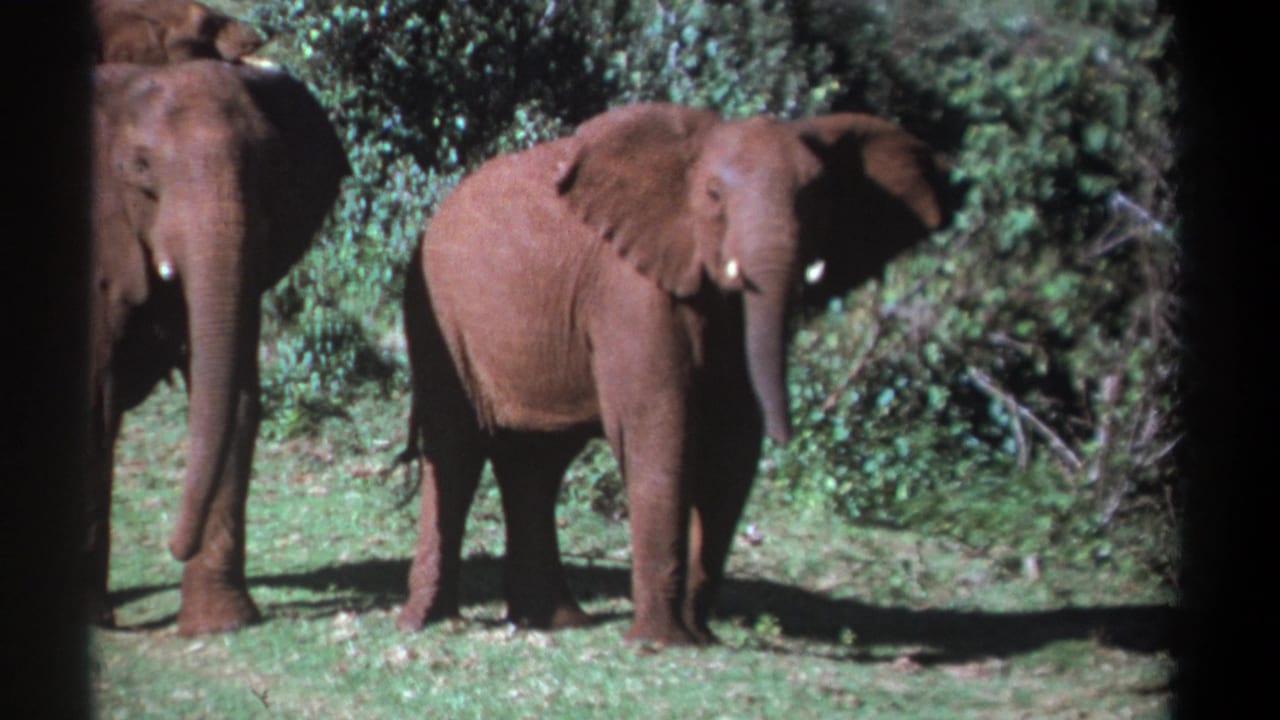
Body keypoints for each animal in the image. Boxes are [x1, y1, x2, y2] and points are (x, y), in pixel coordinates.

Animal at [87, 59, 349, 635]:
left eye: (272, 164)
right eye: (140, 168)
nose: (173, 545)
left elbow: (236, 398)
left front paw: (220, 625)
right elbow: (95, 402)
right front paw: (93, 619)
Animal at [398, 102, 952, 645]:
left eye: (817, 196)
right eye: (713, 195)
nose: (789, 435)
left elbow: (732, 444)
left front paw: (699, 636)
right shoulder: (629, 289)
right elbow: (658, 429)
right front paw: (662, 642)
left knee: (536, 463)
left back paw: (555, 623)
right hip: (438, 314)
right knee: (458, 450)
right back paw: (429, 622)